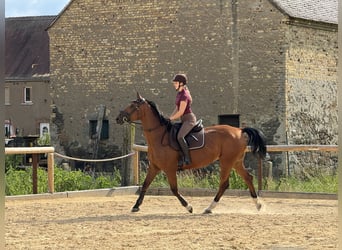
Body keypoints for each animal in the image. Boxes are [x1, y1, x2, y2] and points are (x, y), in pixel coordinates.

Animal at [117, 93, 268, 214]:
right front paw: (136, 206)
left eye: (132, 106)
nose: (118, 118)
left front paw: (189, 207)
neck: (158, 136)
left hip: (227, 162)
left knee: (224, 184)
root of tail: (240, 130)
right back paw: (258, 205)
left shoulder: (170, 169)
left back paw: (209, 208)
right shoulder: (154, 167)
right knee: (248, 178)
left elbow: (174, 189)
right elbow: (145, 185)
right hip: (236, 162)